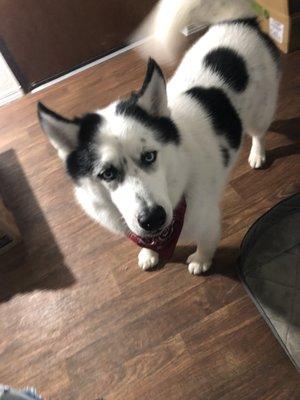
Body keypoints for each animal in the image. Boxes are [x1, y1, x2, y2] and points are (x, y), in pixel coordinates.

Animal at [38, 0, 282, 274]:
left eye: (149, 156)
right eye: (107, 173)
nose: (153, 219)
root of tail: (238, 21)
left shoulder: (208, 220)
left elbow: (206, 242)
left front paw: (201, 260)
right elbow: (144, 241)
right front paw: (149, 253)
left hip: (261, 110)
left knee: (259, 132)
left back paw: (257, 153)